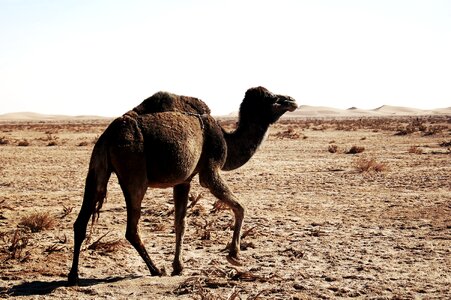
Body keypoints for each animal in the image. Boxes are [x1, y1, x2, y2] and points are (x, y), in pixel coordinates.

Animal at [68, 86, 296, 284]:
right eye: (271, 98)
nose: (291, 100)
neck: (226, 138)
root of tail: (107, 136)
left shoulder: (183, 180)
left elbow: (180, 223)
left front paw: (179, 266)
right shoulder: (210, 168)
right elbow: (240, 206)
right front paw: (234, 255)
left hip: (96, 167)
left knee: (81, 220)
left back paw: (74, 276)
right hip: (134, 167)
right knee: (131, 227)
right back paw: (155, 269)